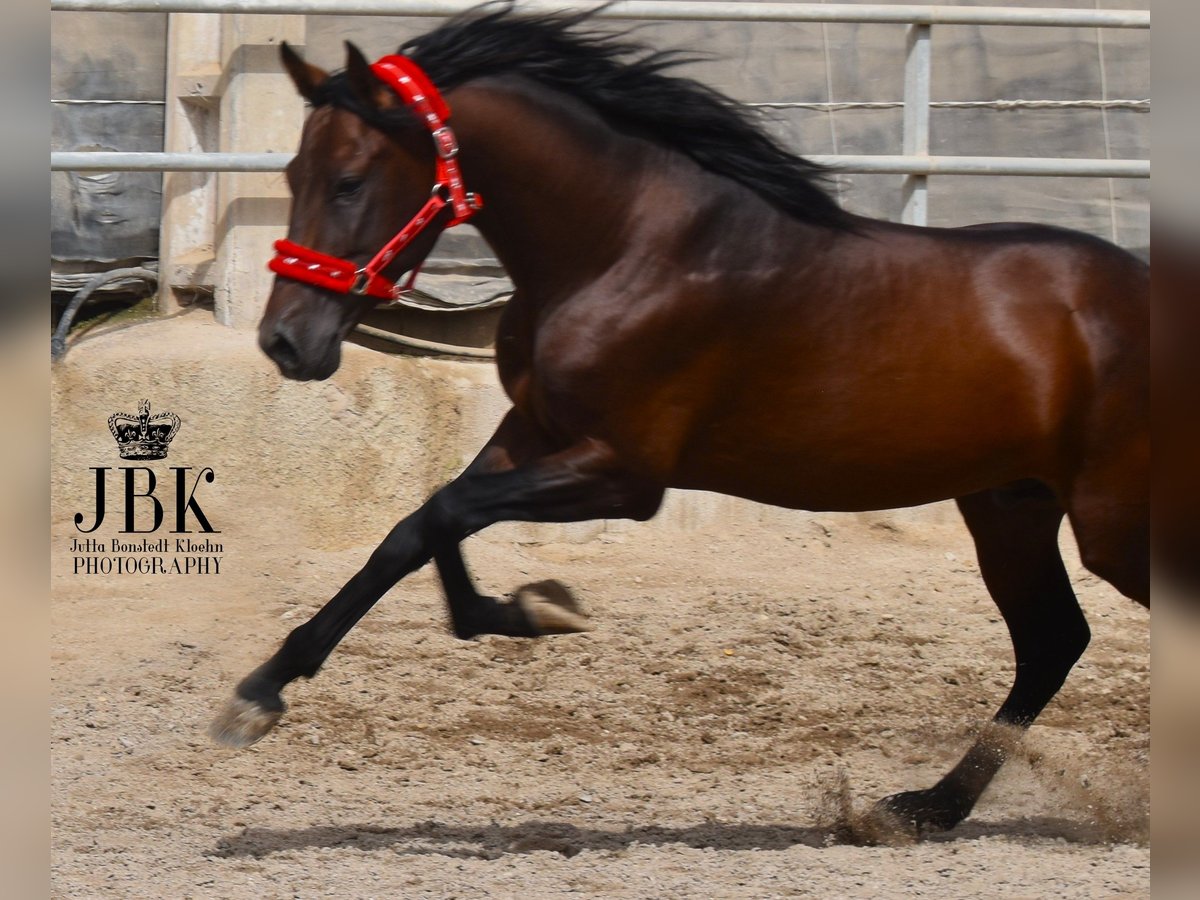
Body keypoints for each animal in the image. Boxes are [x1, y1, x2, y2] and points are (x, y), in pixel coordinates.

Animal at [211, 3, 1147, 844]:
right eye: (291, 176)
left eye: (349, 181)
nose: (285, 341)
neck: (627, 245)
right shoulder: (533, 434)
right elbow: (416, 528)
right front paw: (263, 690)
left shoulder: (625, 473)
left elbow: (444, 512)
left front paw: (539, 608)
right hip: (1009, 506)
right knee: (1053, 640)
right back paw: (923, 809)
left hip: (1108, 519)